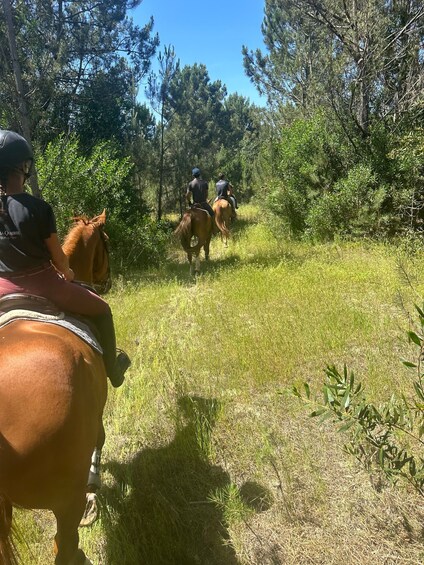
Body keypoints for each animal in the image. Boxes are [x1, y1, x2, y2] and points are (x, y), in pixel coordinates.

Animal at [0, 210, 112, 560]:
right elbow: (100, 438)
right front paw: (95, 478)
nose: (106, 280)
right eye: (106, 243)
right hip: (64, 501)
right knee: (63, 546)